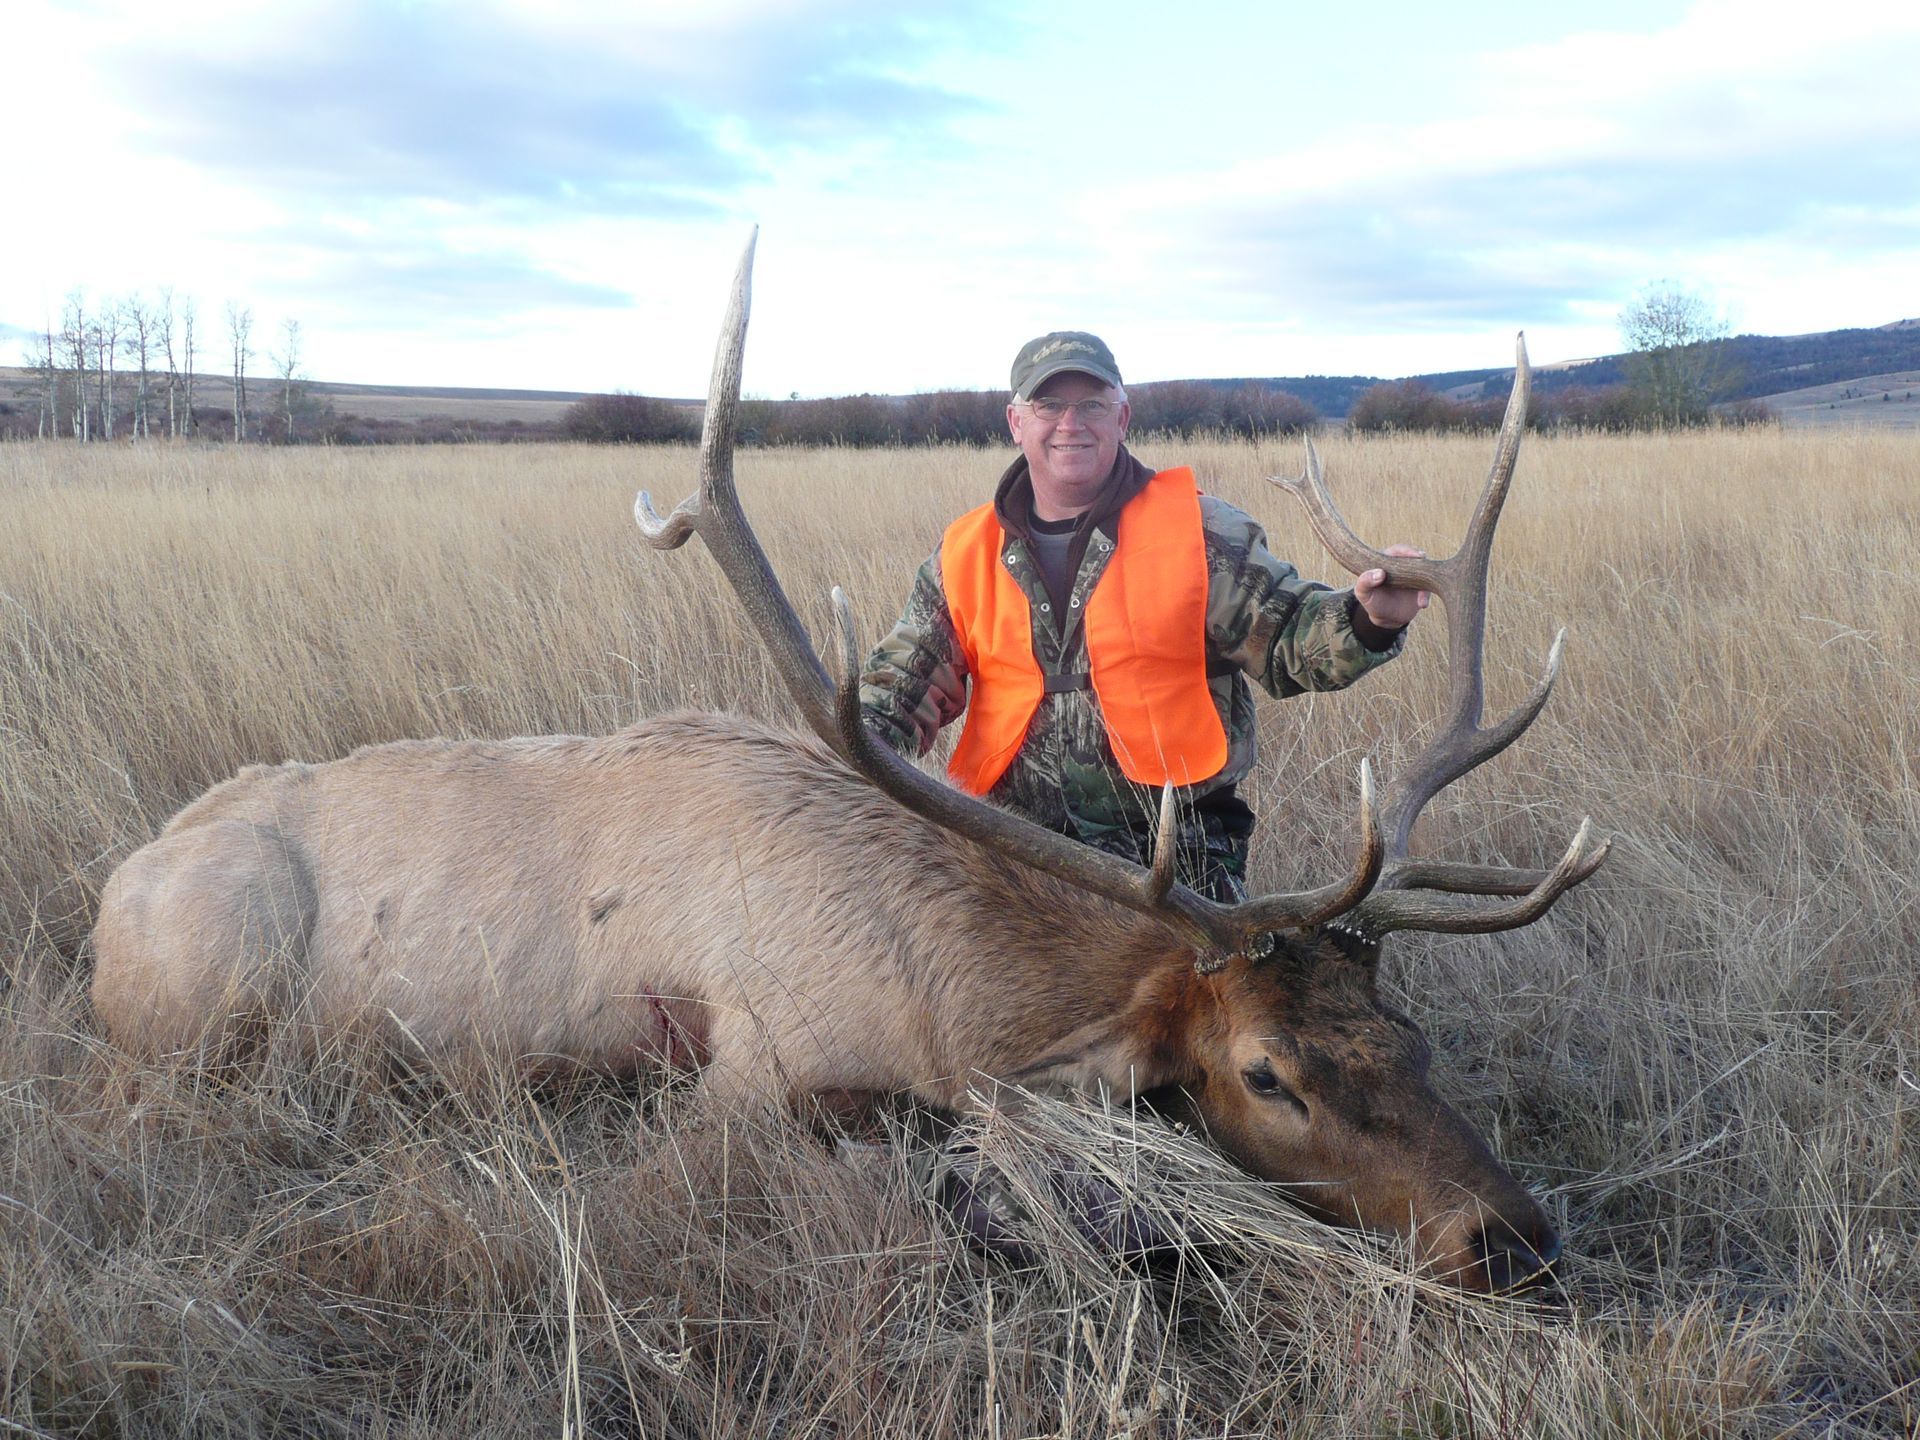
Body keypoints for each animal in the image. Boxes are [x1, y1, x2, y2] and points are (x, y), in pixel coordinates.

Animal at [90, 236, 1607, 1293]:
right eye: (1266, 1076)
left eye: (1406, 1038)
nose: (1516, 1239)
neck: (944, 1006)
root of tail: (115, 888)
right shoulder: (744, 1067)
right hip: (210, 979)